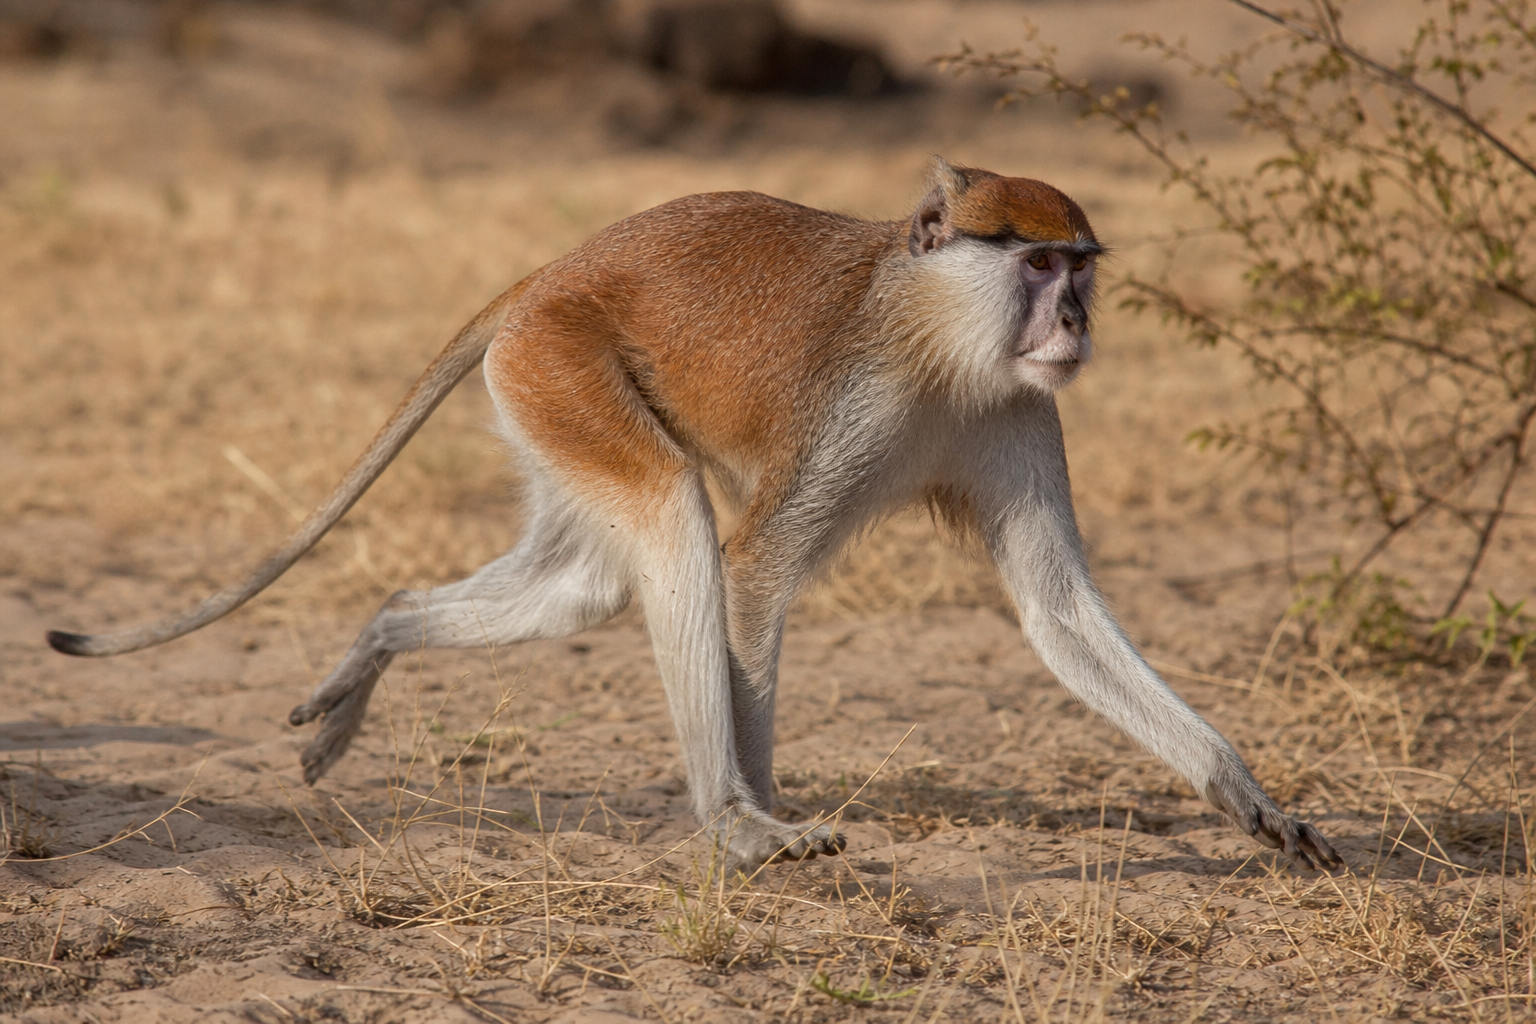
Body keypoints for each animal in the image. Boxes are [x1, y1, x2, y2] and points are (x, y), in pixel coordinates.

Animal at [48, 158, 1342, 872]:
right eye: (1035, 267)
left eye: (1082, 269)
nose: (1073, 325)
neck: (939, 330)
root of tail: (549, 271)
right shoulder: (866, 398)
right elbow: (756, 568)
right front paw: (762, 818)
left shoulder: (1023, 412)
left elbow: (1059, 609)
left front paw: (1248, 796)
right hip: (563, 367)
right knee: (669, 526)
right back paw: (727, 821)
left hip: (541, 393)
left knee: (587, 582)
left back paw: (385, 632)